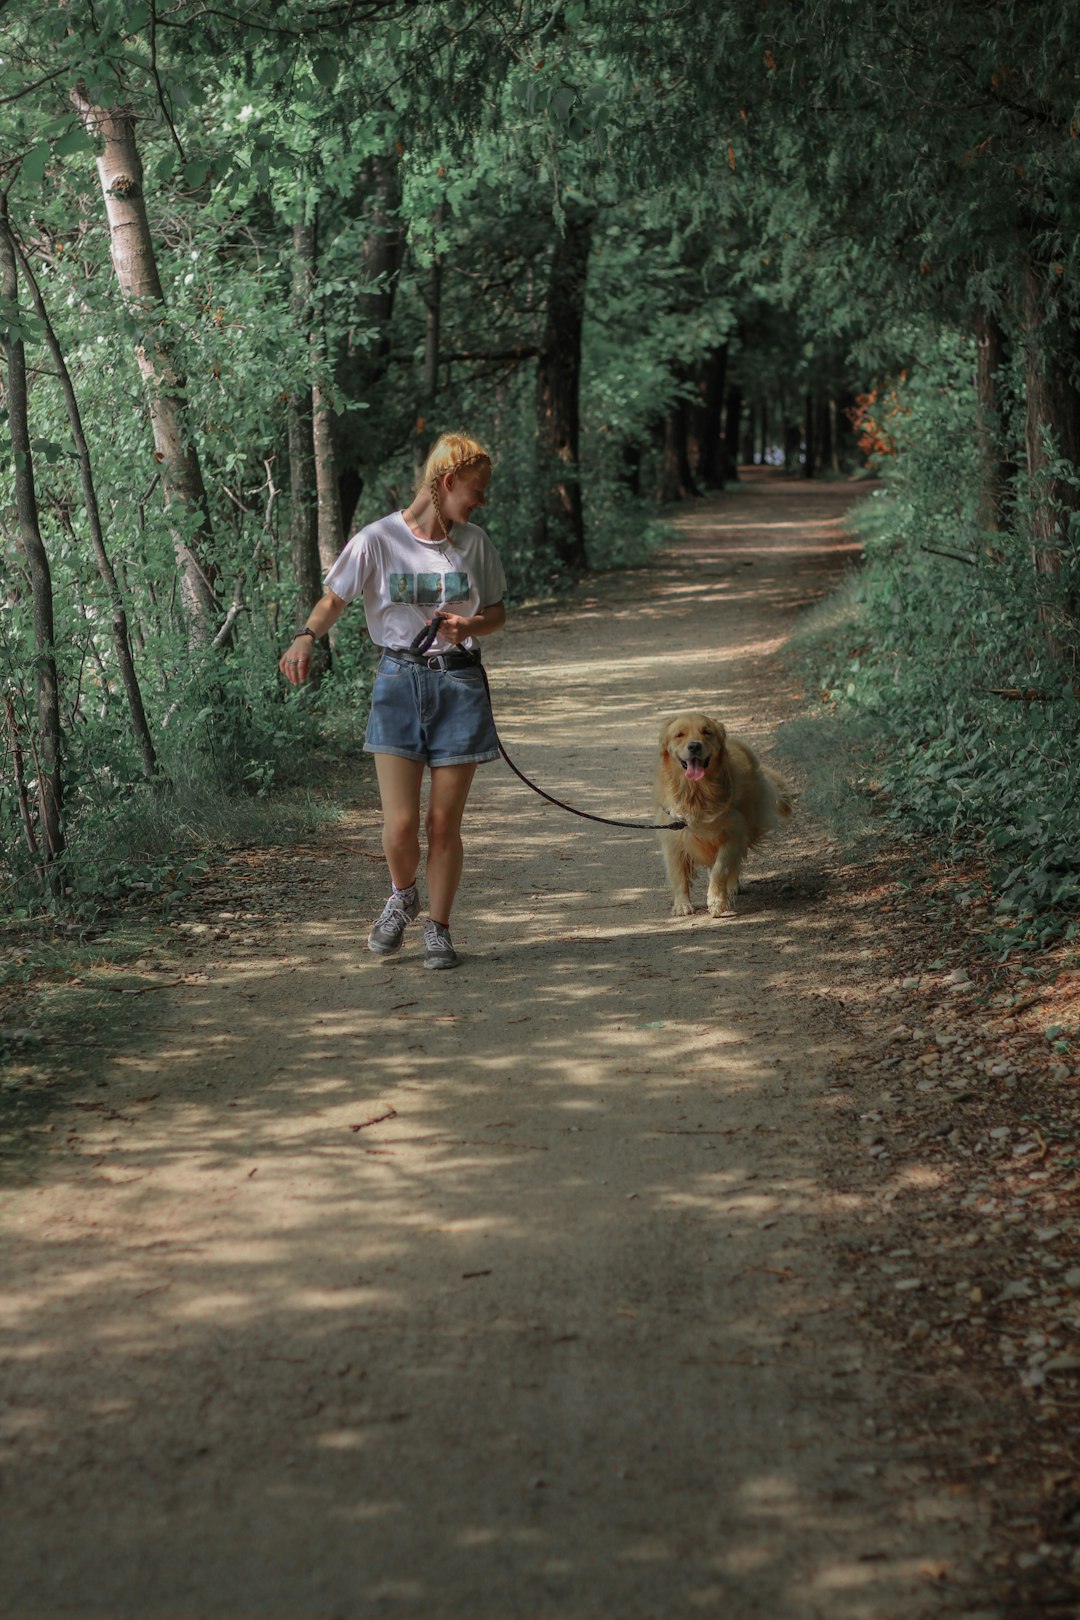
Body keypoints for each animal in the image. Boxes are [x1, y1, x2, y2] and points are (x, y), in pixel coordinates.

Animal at [650, 706, 793, 920]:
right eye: (679, 734)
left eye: (706, 732)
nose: (694, 746)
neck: (696, 794)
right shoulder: (673, 839)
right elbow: (678, 875)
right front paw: (682, 904)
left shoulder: (733, 833)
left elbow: (720, 869)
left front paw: (717, 901)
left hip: (749, 823)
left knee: (735, 862)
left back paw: (732, 887)